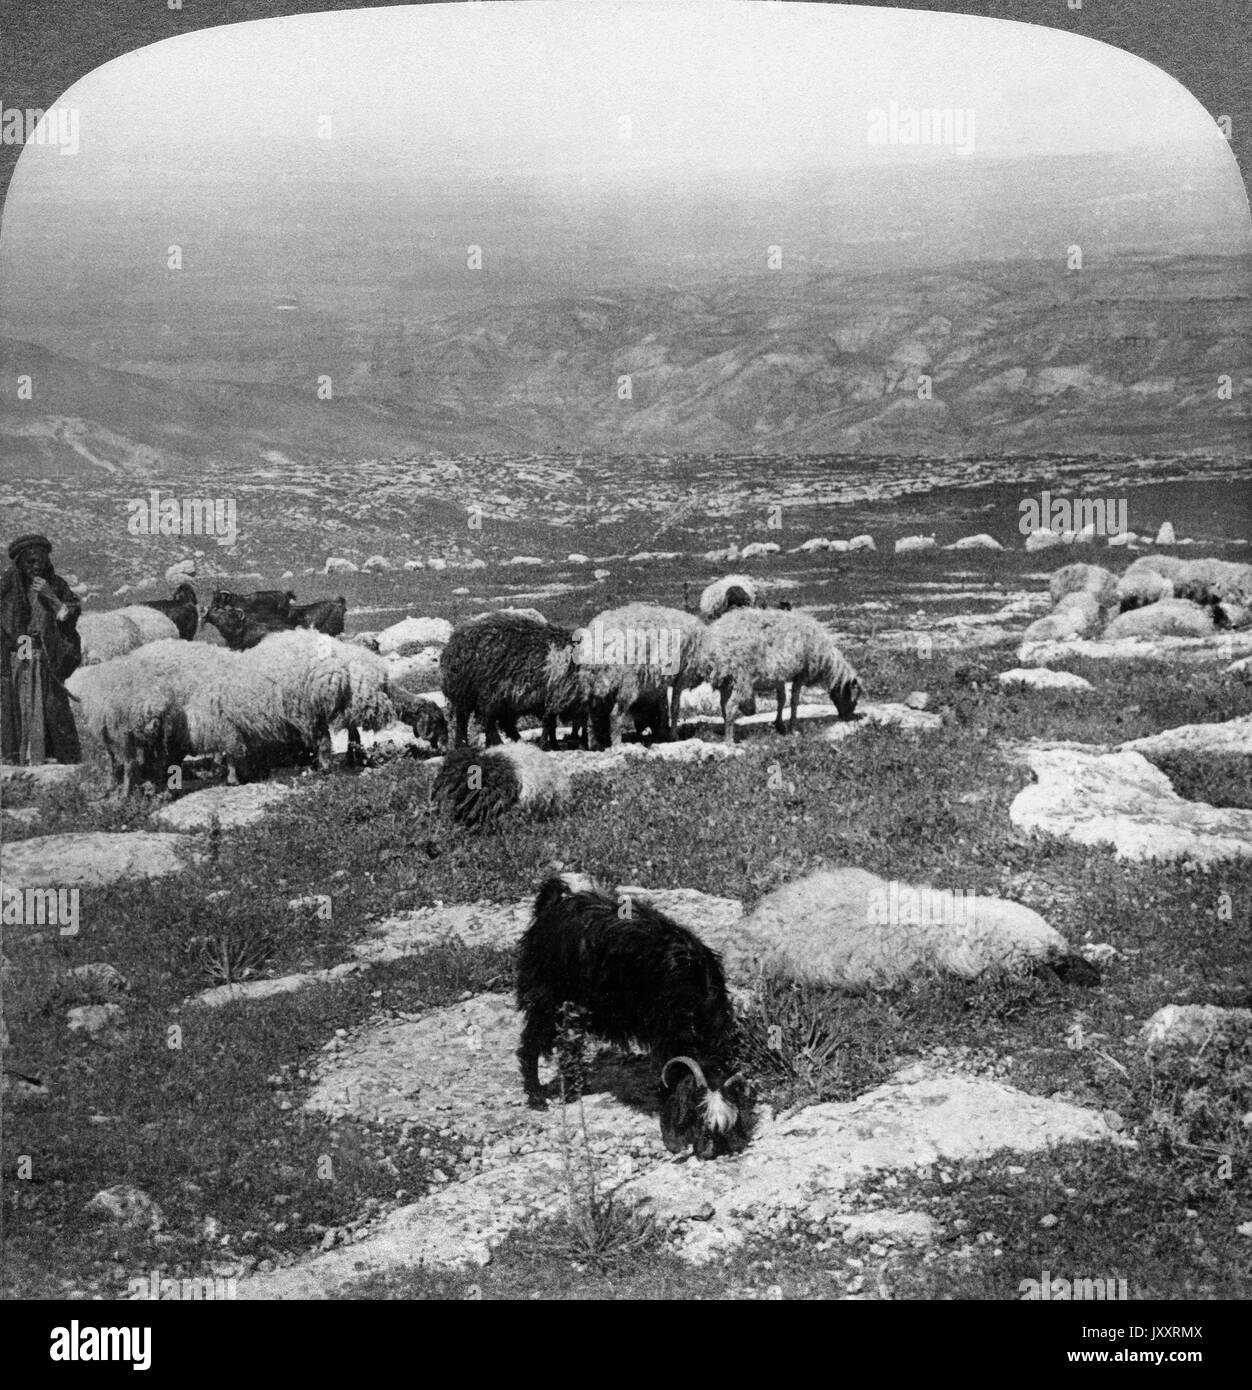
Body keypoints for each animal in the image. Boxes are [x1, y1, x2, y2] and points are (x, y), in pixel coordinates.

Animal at [439, 614, 586, 750]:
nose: (576, 741)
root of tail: (451, 645)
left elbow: (554, 724)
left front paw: (554, 744)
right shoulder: (551, 697)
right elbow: (550, 723)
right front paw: (547, 745)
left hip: (491, 697)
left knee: (489, 721)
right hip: (481, 692)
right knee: (480, 719)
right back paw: (488, 744)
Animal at [514, 878, 744, 1162]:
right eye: (694, 1116)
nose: (709, 1153)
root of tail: (551, 906)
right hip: (547, 996)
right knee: (531, 1044)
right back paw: (537, 1097)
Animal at [683, 606, 861, 745]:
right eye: (854, 697)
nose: (848, 717)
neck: (827, 660)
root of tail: (711, 647)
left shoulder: (779, 676)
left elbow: (781, 700)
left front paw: (779, 724)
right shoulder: (800, 674)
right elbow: (794, 701)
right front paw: (793, 728)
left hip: (727, 680)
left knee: (723, 704)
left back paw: (727, 729)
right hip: (741, 678)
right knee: (730, 706)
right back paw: (729, 741)